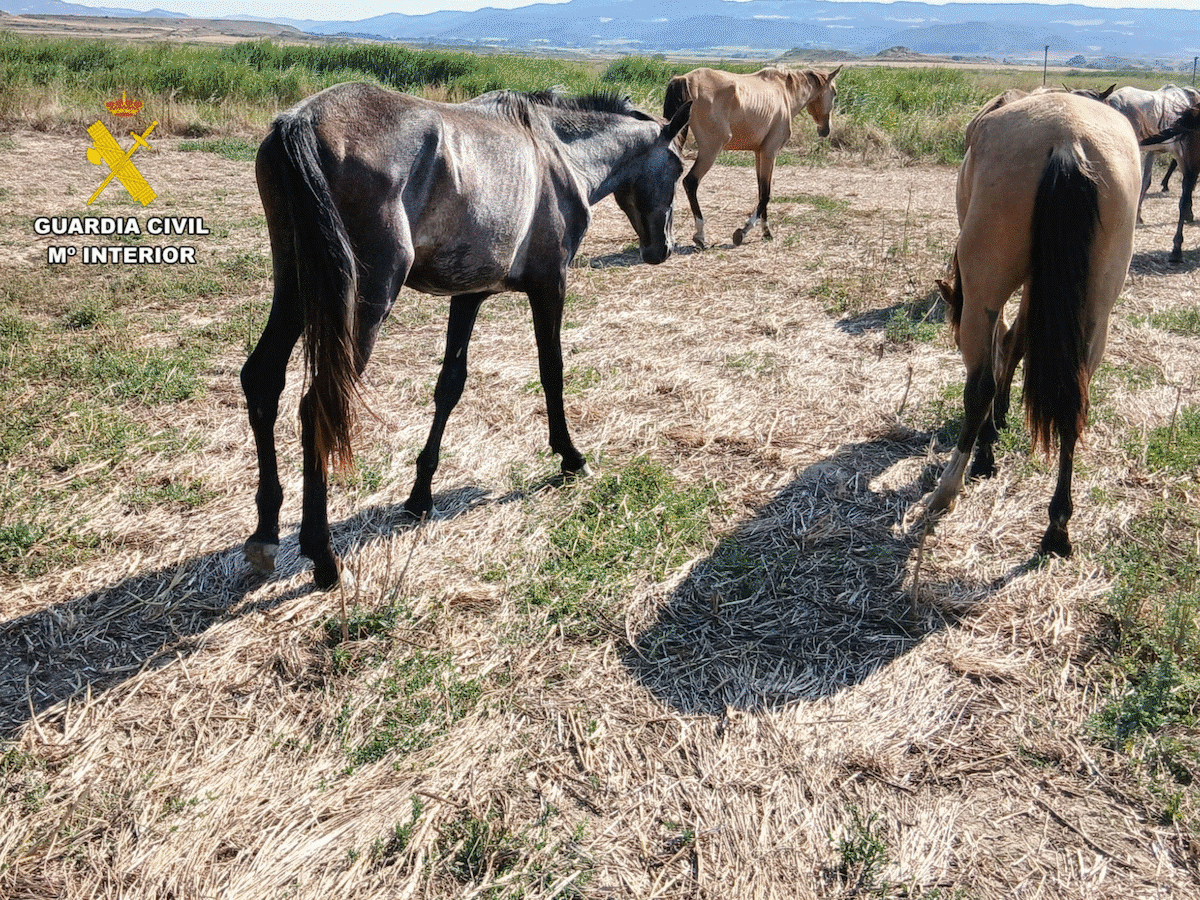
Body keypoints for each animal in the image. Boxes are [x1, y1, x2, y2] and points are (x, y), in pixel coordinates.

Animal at [241, 82, 691, 589]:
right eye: (678, 167)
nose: (662, 248)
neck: (558, 154)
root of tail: (301, 120)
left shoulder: (469, 294)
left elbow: (449, 386)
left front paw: (421, 493)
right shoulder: (551, 284)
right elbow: (552, 371)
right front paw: (570, 455)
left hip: (298, 286)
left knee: (262, 380)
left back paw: (265, 534)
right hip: (365, 299)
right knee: (319, 405)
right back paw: (322, 555)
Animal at [662, 64, 841, 249]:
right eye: (834, 93)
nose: (825, 130)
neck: (784, 92)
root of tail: (685, 79)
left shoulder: (759, 153)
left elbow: (761, 190)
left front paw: (766, 231)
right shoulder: (770, 152)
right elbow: (766, 194)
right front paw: (744, 231)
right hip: (710, 151)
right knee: (690, 182)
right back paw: (700, 235)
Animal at [917, 91, 1140, 557]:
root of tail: (1068, 139)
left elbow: (1002, 347)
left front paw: (989, 440)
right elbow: (1017, 343)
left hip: (984, 290)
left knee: (979, 386)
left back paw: (950, 487)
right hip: (1096, 310)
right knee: (1075, 401)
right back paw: (1057, 527)